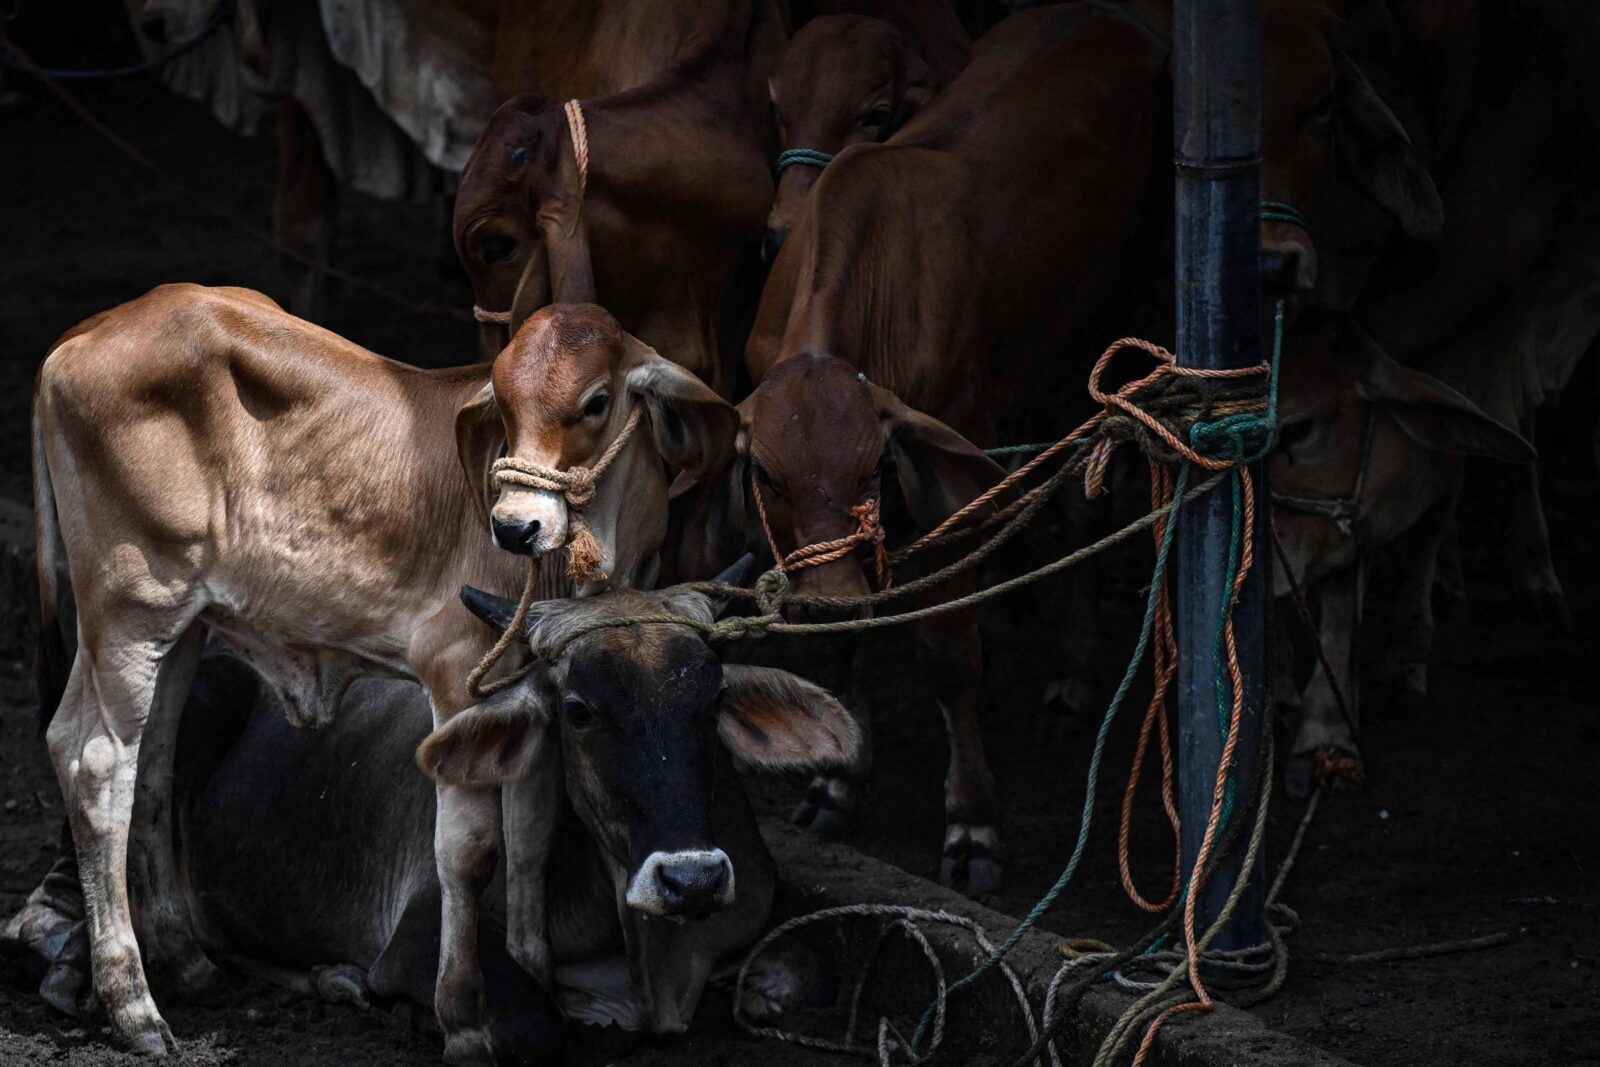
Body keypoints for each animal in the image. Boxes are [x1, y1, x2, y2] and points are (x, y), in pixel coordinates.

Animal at [7, 572, 857, 1056]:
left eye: (709, 703)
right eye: (578, 710)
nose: (692, 879)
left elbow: (805, 967)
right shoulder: (421, 927)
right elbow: (535, 1023)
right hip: (187, 706)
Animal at [27, 287, 734, 1058]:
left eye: (597, 401)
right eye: (504, 407)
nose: (513, 526)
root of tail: (84, 331)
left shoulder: (539, 692)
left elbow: (532, 838)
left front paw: (534, 973)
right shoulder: (455, 676)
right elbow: (469, 853)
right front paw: (462, 1019)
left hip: (177, 628)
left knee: (148, 764)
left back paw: (186, 965)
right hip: (128, 608)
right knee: (95, 760)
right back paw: (135, 1006)